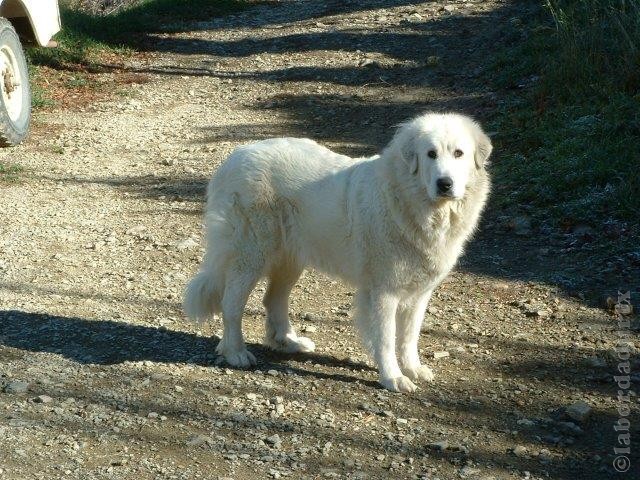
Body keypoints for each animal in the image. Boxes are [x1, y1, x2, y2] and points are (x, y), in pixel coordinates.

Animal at [182, 113, 492, 394]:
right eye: (430, 154)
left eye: (458, 153)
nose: (444, 183)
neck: (413, 202)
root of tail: (235, 157)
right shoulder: (384, 292)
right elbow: (386, 338)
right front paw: (393, 377)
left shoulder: (419, 293)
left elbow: (409, 336)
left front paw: (413, 369)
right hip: (251, 255)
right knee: (231, 304)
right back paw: (235, 352)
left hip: (290, 259)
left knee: (272, 300)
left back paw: (289, 342)